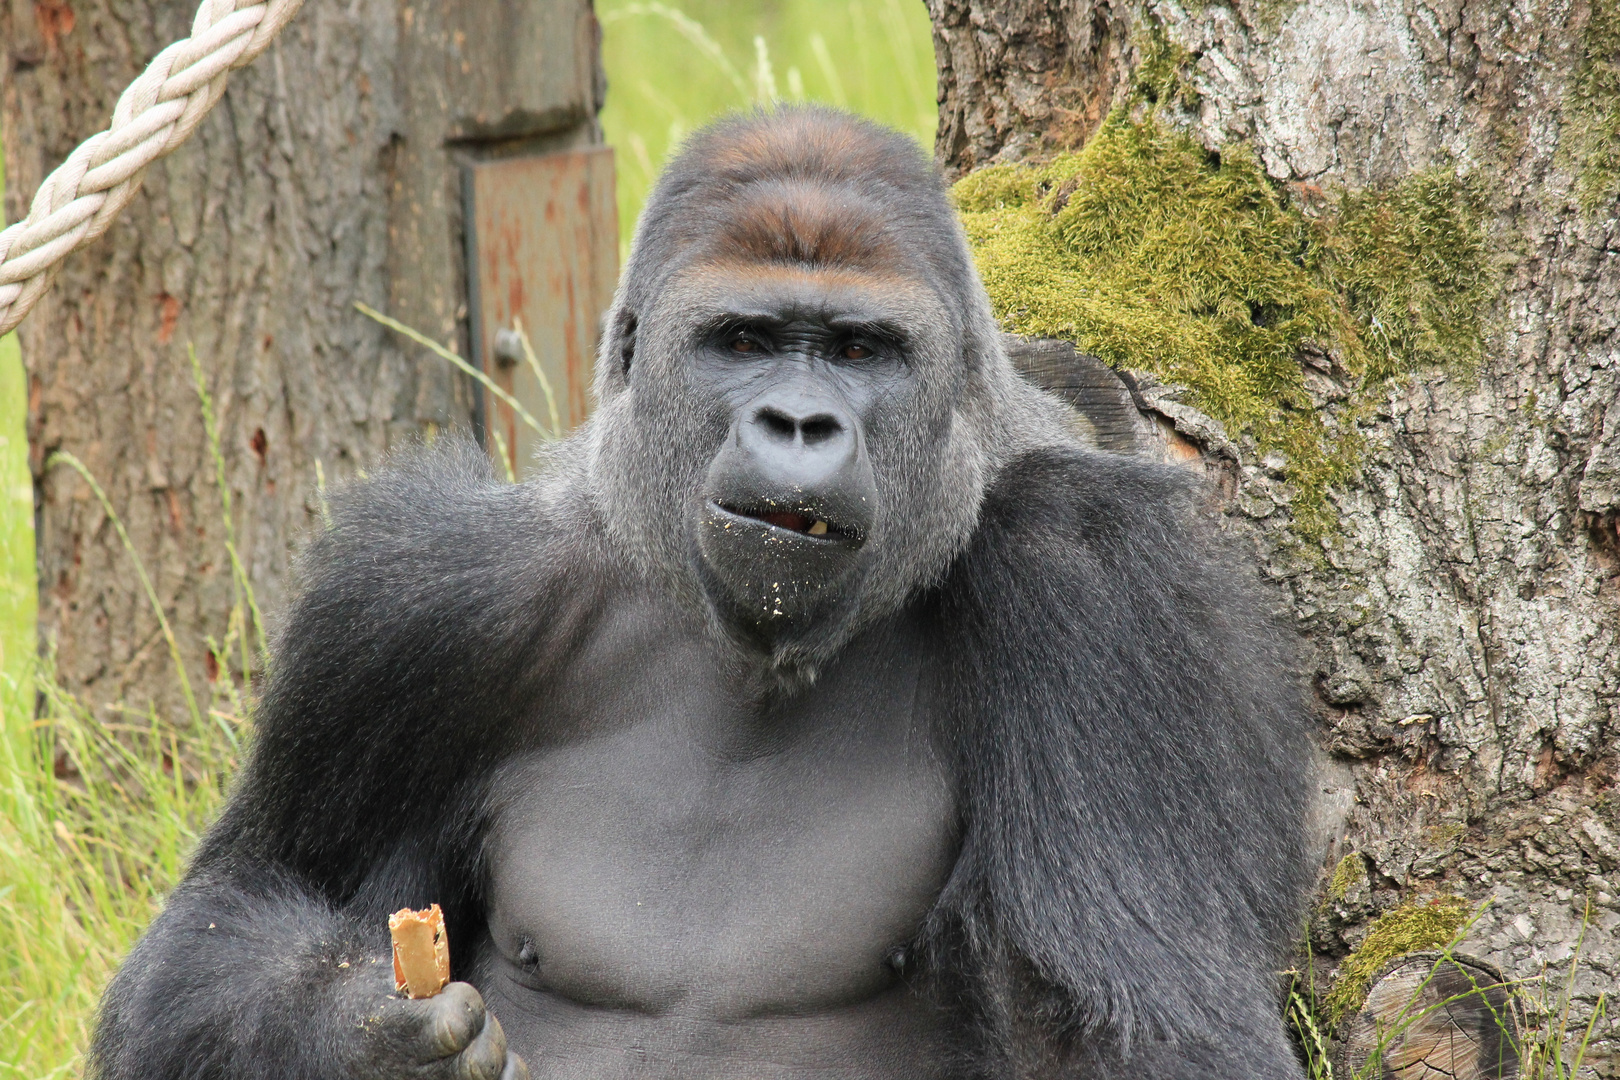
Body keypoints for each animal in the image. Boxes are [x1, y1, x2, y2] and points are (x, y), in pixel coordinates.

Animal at [88, 110, 1315, 1080]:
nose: (800, 423)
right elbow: (226, 913)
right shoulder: (414, 604)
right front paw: (361, 1036)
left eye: (861, 351)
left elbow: (1145, 1021)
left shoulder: (1096, 575)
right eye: (745, 340)